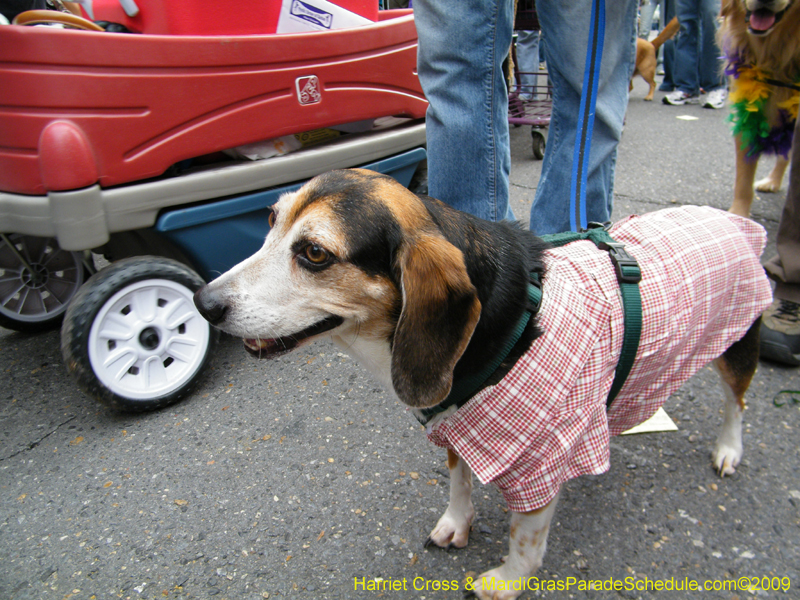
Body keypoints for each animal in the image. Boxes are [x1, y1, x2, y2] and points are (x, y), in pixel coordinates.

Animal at [195, 170, 776, 600]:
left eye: (315, 253)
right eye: (271, 219)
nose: (203, 304)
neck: (505, 320)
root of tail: (732, 216)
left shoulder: (541, 460)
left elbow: (526, 536)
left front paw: (507, 581)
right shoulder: (455, 424)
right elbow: (459, 481)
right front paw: (457, 522)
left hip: (737, 344)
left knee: (738, 402)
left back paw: (728, 448)